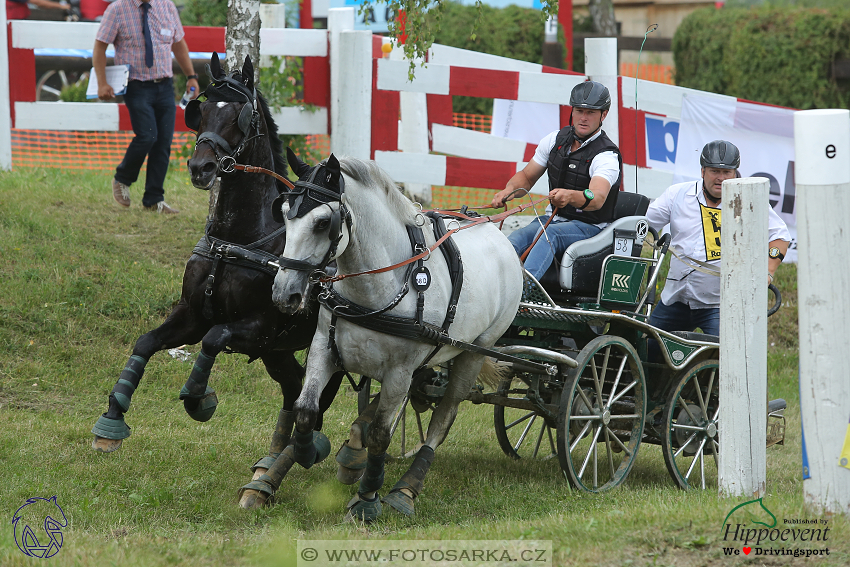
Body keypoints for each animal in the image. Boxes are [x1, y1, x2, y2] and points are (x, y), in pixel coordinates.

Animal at [92, 54, 338, 492]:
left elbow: (213, 338)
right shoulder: (194, 314)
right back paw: (273, 459)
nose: (200, 167)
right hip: (277, 352)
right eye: (200, 111)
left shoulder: (257, 327)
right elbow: (145, 342)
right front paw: (112, 420)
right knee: (294, 390)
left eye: (241, 115)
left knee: (319, 398)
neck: (236, 239)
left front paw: (199, 398)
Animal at [272, 153, 524, 520]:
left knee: (443, 418)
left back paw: (406, 489)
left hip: (476, 351)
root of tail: (498, 233)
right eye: (283, 213)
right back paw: (353, 456)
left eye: (322, 223)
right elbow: (306, 410)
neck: (377, 287)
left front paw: (367, 498)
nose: (284, 294)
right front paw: (307, 453)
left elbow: (380, 435)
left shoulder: (399, 372)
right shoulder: (324, 349)